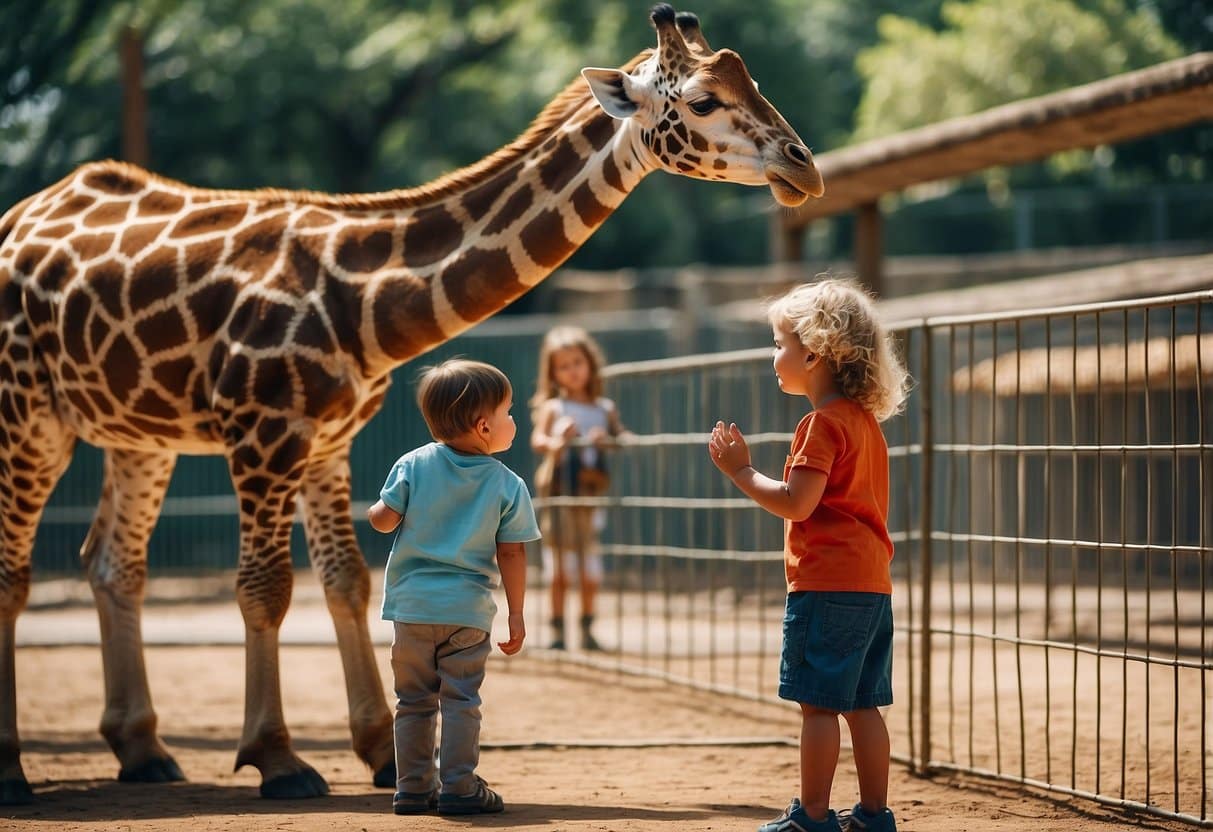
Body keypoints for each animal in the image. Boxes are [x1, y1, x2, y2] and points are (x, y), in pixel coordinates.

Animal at [0, 4, 822, 803]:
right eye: (703, 100)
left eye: (751, 82)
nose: (802, 167)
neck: (359, 300)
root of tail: (16, 219)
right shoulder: (263, 433)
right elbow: (265, 589)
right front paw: (278, 759)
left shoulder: (326, 441)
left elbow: (348, 582)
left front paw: (378, 752)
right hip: (28, 414)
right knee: (20, 570)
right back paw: (18, 772)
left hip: (136, 433)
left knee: (112, 563)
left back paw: (142, 751)